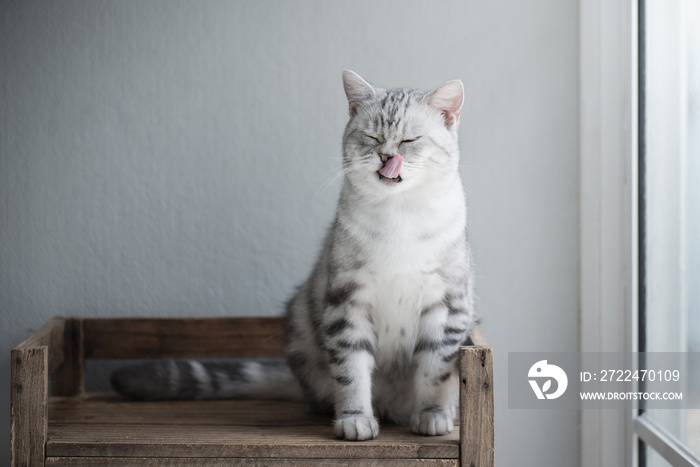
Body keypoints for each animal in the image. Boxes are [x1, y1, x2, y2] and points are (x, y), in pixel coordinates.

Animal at [112, 70, 478, 442]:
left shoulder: (448, 306)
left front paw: (432, 415)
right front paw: (354, 419)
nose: (386, 156)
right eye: (372, 137)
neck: (399, 216)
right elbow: (351, 372)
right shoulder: (346, 302)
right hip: (302, 321)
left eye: (409, 140)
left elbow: (434, 373)